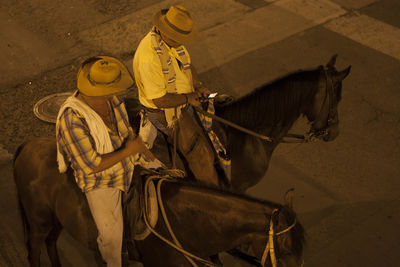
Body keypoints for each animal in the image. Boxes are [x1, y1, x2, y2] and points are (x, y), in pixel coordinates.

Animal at [14, 139, 304, 266]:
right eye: (286, 251)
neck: (189, 223)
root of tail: (27, 147)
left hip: (55, 220)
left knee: (51, 243)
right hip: (38, 221)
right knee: (35, 250)